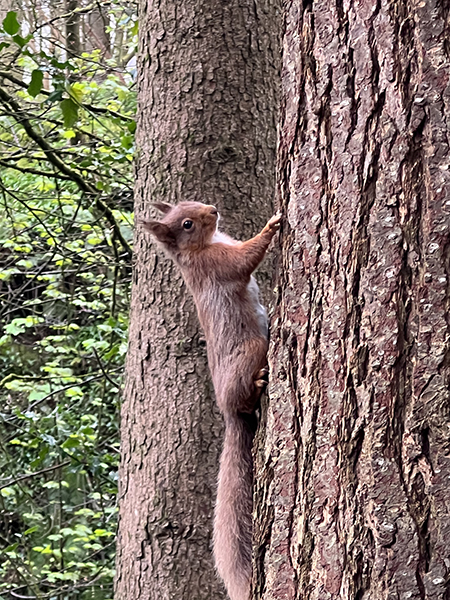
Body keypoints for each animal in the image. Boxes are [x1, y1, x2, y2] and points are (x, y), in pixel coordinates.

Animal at [143, 202, 282, 600]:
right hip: (252, 349)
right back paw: (258, 382)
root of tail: (228, 412)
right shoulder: (218, 265)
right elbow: (246, 259)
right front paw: (271, 226)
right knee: (247, 396)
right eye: (187, 224)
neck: (208, 244)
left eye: (190, 202)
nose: (214, 209)